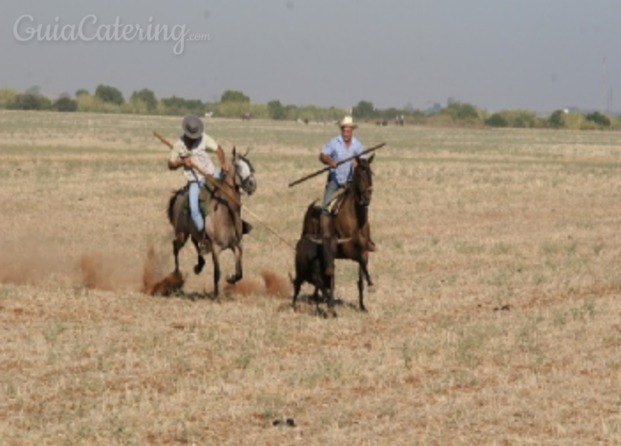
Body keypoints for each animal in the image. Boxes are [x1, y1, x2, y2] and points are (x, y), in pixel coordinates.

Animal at [166, 148, 256, 298]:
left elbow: (239, 273)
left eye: (249, 164)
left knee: (195, 242)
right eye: (238, 166)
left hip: (194, 233)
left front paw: (230, 278)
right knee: (175, 246)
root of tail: (179, 194)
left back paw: (199, 265)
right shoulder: (216, 248)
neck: (226, 213)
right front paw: (216, 295)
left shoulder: (237, 245)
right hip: (181, 234)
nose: (252, 185)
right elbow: (217, 273)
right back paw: (177, 275)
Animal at [300, 155, 376, 312]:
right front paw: (371, 283)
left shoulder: (364, 251)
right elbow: (359, 262)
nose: (367, 198)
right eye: (359, 174)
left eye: (370, 173)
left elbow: (361, 276)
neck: (356, 220)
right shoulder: (347, 250)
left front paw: (362, 306)